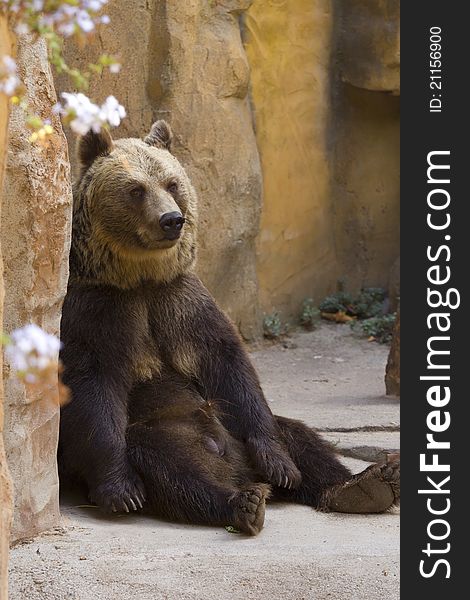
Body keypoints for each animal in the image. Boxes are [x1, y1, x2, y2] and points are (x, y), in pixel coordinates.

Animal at [57, 120, 398, 536]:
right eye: (136, 189)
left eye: (172, 183)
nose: (171, 220)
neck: (139, 278)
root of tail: (235, 468)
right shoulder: (97, 311)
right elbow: (92, 386)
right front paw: (121, 489)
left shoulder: (181, 303)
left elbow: (230, 367)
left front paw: (281, 463)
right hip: (171, 435)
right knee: (172, 466)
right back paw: (241, 503)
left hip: (241, 432)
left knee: (299, 436)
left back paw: (360, 485)